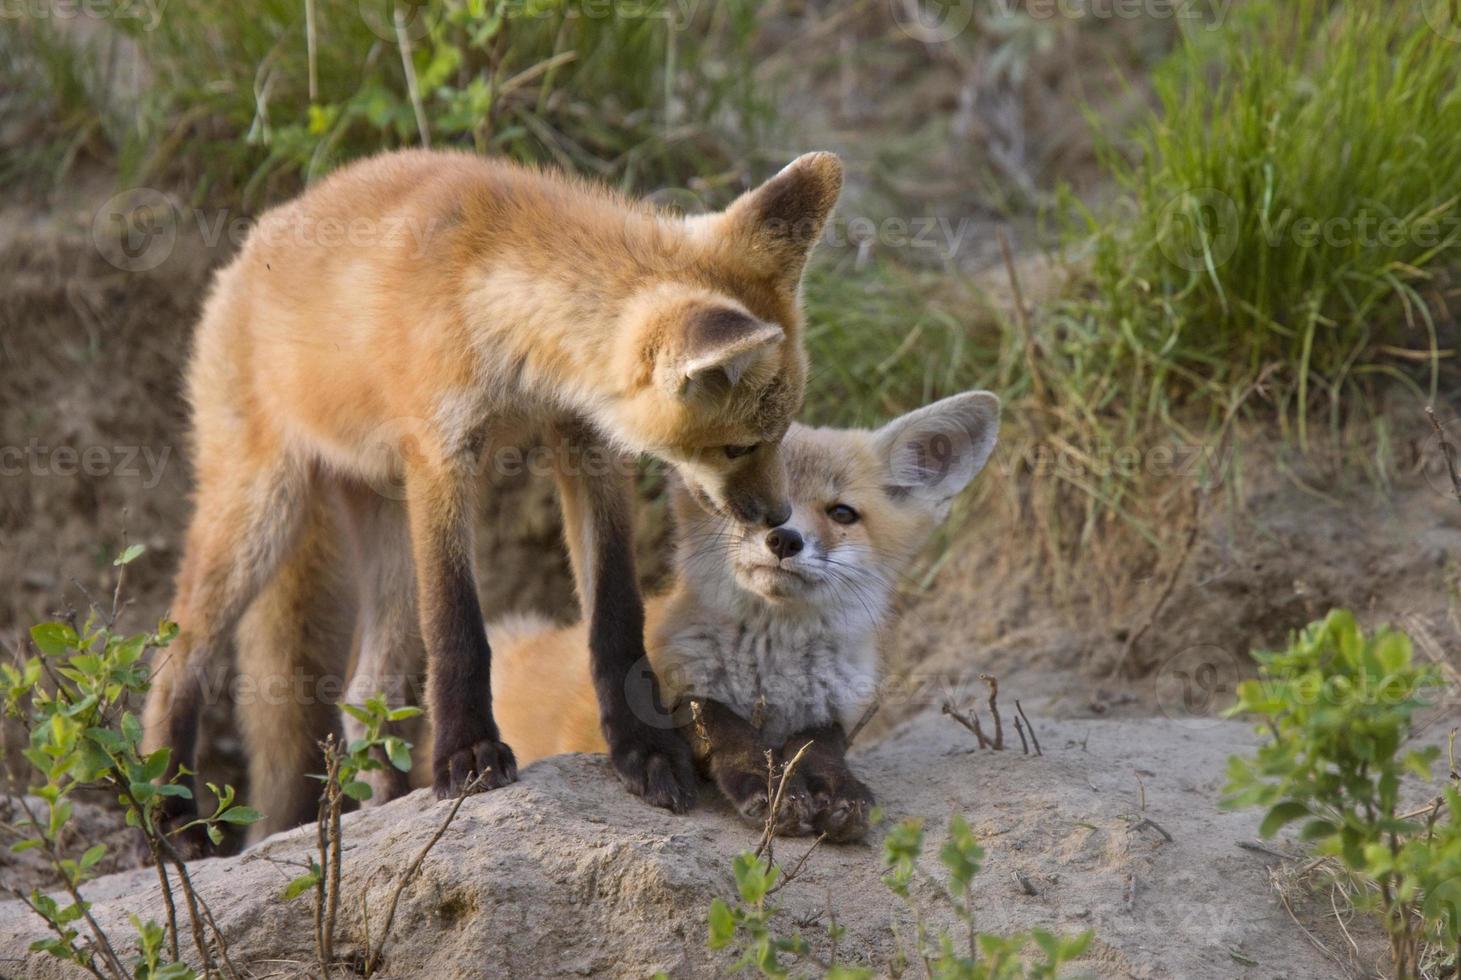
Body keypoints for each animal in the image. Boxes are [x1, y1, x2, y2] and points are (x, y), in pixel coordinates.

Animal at [145, 147, 847, 835]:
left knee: (364, 696)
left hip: (387, 539)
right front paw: (467, 752)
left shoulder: (588, 448)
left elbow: (616, 615)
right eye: (740, 446)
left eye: (781, 432)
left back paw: (385, 804)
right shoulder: (443, 459)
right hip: (263, 513)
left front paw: (642, 748)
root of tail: (251, 247)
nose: (777, 518)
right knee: (176, 661)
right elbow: (458, 628)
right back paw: (169, 813)